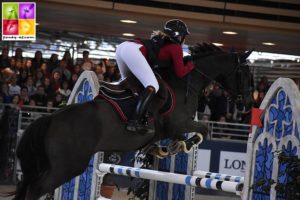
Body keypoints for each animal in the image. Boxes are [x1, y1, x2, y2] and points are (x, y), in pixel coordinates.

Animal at [10, 43, 252, 199]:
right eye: (245, 75)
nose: (247, 106)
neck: (186, 82)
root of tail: (51, 118)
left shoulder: (172, 128)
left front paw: (162, 149)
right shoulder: (179, 123)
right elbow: (203, 129)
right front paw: (180, 146)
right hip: (68, 166)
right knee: (34, 190)